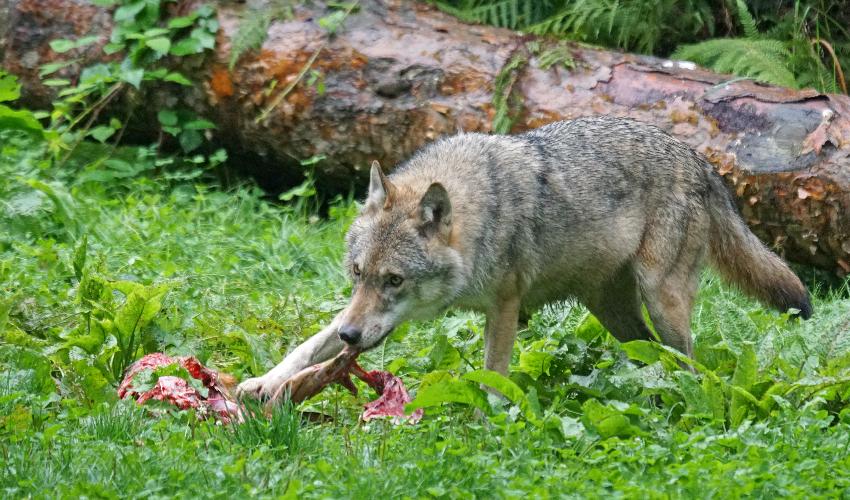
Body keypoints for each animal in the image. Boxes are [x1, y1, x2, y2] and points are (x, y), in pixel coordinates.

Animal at [237, 116, 808, 398]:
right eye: (359, 274)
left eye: (394, 281)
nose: (353, 338)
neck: (478, 214)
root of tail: (699, 158)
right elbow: (308, 345)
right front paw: (264, 383)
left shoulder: (506, 308)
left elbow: (494, 373)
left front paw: (488, 425)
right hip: (613, 311)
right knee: (651, 353)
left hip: (659, 297)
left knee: (689, 362)